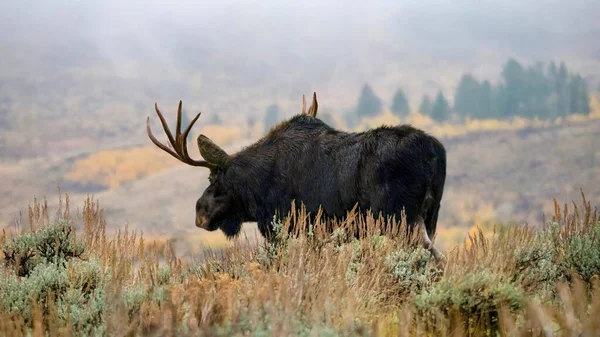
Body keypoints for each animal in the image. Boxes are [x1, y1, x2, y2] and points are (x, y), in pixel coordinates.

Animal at [145, 92, 446, 258]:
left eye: (213, 179)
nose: (200, 213)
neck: (257, 188)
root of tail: (436, 151)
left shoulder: (284, 226)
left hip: (404, 219)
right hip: (430, 216)